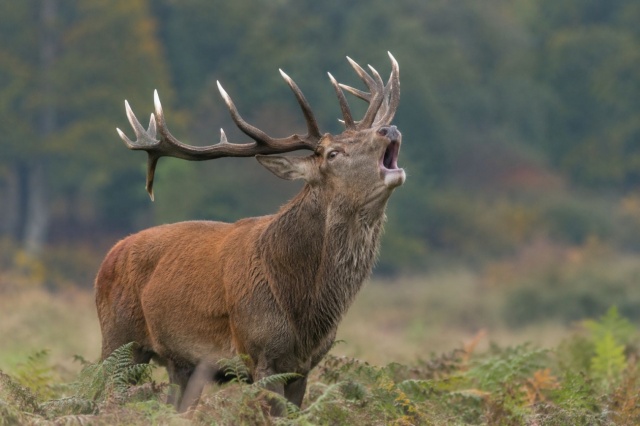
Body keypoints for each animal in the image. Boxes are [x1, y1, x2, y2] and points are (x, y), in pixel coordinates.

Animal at [95, 53, 405, 414]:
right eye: (333, 153)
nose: (389, 128)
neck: (304, 311)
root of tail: (109, 255)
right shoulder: (261, 352)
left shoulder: (304, 367)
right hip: (118, 340)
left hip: (180, 364)